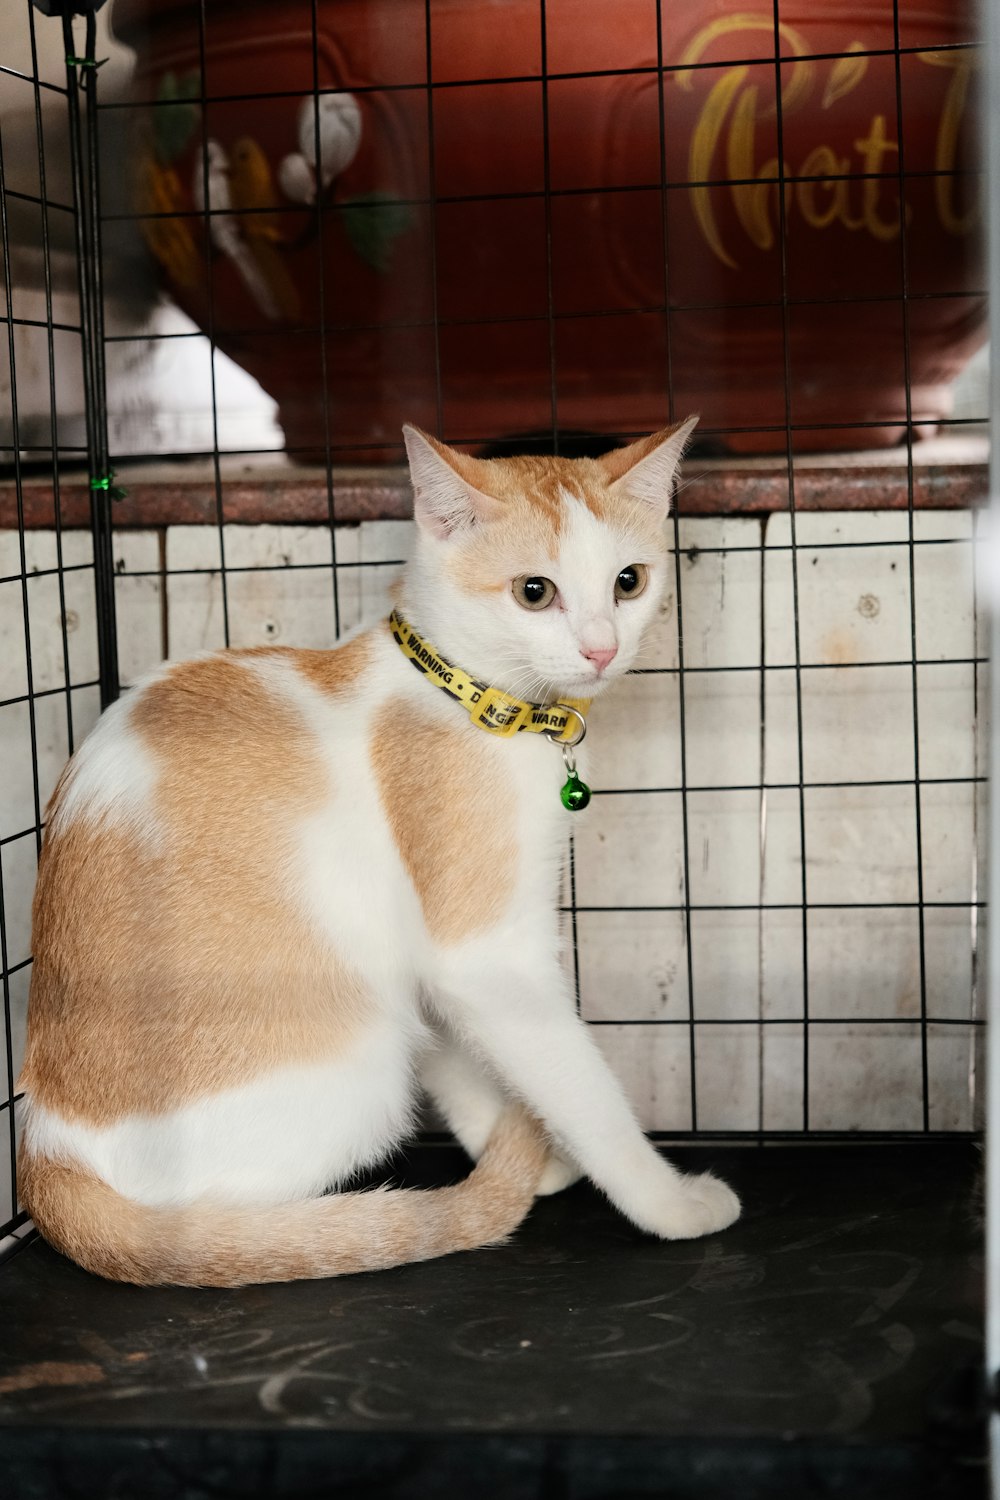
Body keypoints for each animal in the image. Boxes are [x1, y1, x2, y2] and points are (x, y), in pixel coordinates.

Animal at [15, 423, 740, 1290]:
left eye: (629, 582)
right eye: (535, 593)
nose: (601, 648)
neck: (474, 697)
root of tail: (44, 1156)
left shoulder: (428, 955)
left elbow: (462, 1054)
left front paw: (526, 1156)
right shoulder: (486, 951)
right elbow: (582, 1087)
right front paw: (666, 1202)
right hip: (355, 1076)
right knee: (193, 1229)